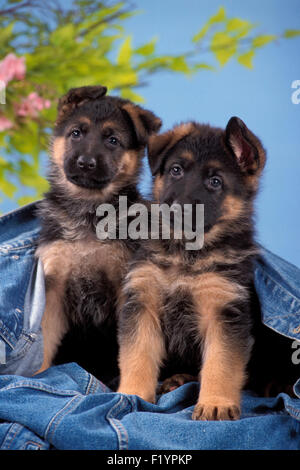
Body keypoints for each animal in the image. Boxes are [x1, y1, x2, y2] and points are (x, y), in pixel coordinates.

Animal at [35, 85, 162, 374]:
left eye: (113, 140)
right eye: (76, 133)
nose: (86, 163)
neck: (89, 210)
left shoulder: (124, 286)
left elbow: (127, 346)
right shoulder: (54, 289)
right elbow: (44, 342)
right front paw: (37, 375)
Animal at [116, 116, 266, 418]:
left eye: (215, 181)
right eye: (176, 170)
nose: (176, 211)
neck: (185, 254)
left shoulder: (224, 312)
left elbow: (221, 363)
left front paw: (216, 403)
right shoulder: (142, 303)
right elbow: (137, 355)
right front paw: (131, 394)